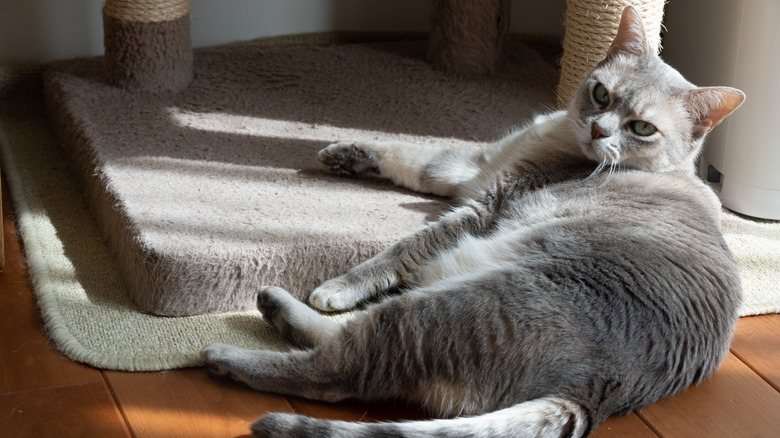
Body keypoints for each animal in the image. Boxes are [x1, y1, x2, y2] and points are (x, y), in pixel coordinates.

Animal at [200, 6, 744, 438]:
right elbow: (411, 154)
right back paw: (273, 306)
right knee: (339, 348)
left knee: (339, 370)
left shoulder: (485, 202)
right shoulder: (474, 166)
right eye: (602, 94)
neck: (558, 139)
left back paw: (230, 352)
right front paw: (345, 153)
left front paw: (341, 284)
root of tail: (600, 391)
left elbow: (404, 247)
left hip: (444, 306)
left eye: (642, 128)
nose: (598, 129)